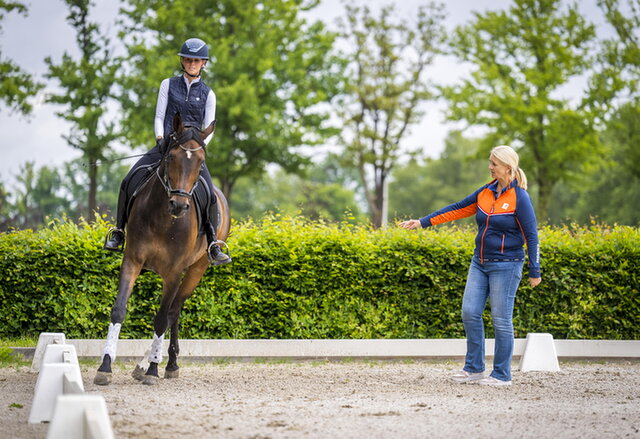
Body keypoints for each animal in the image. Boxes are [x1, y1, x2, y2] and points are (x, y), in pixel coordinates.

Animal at [94, 113, 230, 386]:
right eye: (170, 157)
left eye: (201, 163)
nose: (178, 204)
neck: (164, 219)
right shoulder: (132, 261)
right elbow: (118, 310)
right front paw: (105, 366)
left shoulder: (174, 273)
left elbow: (160, 319)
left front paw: (153, 371)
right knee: (173, 313)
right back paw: (150, 364)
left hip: (197, 269)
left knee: (173, 311)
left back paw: (166, 364)